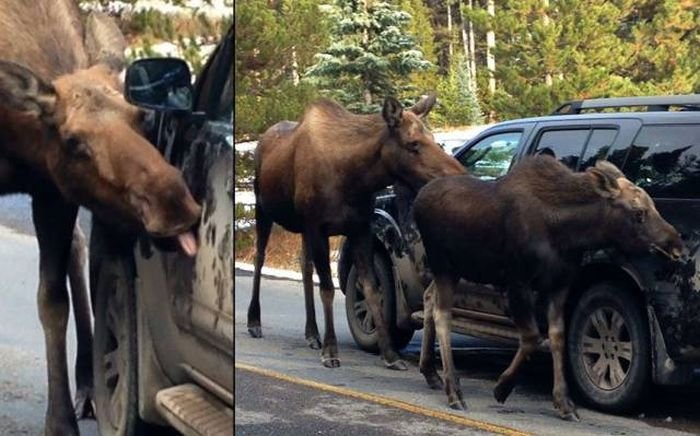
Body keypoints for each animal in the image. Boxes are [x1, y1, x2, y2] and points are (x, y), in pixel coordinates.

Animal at [0, 1, 202, 434]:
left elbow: (52, 302)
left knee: (78, 247)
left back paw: (88, 386)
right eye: (73, 141)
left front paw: (60, 422)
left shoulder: (52, 189)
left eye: (140, 117)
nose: (174, 203)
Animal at [249, 94, 468, 368]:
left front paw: (390, 354)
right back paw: (254, 322)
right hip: (262, 208)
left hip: (302, 227)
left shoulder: (359, 228)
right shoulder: (318, 227)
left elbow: (372, 289)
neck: (355, 179)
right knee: (259, 257)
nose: (460, 175)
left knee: (304, 265)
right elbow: (328, 289)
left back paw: (312, 333)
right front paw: (331, 351)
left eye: (434, 138)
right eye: (413, 143)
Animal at [412, 156, 680, 418]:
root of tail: (417, 200)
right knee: (442, 315)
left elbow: (557, 336)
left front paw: (564, 402)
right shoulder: (517, 282)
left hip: (453, 271)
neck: (568, 233)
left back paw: (431, 372)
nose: (676, 244)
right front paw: (503, 387)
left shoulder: (560, 284)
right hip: (443, 266)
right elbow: (532, 337)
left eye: (653, 205)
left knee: (429, 299)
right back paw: (454, 391)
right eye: (639, 212)